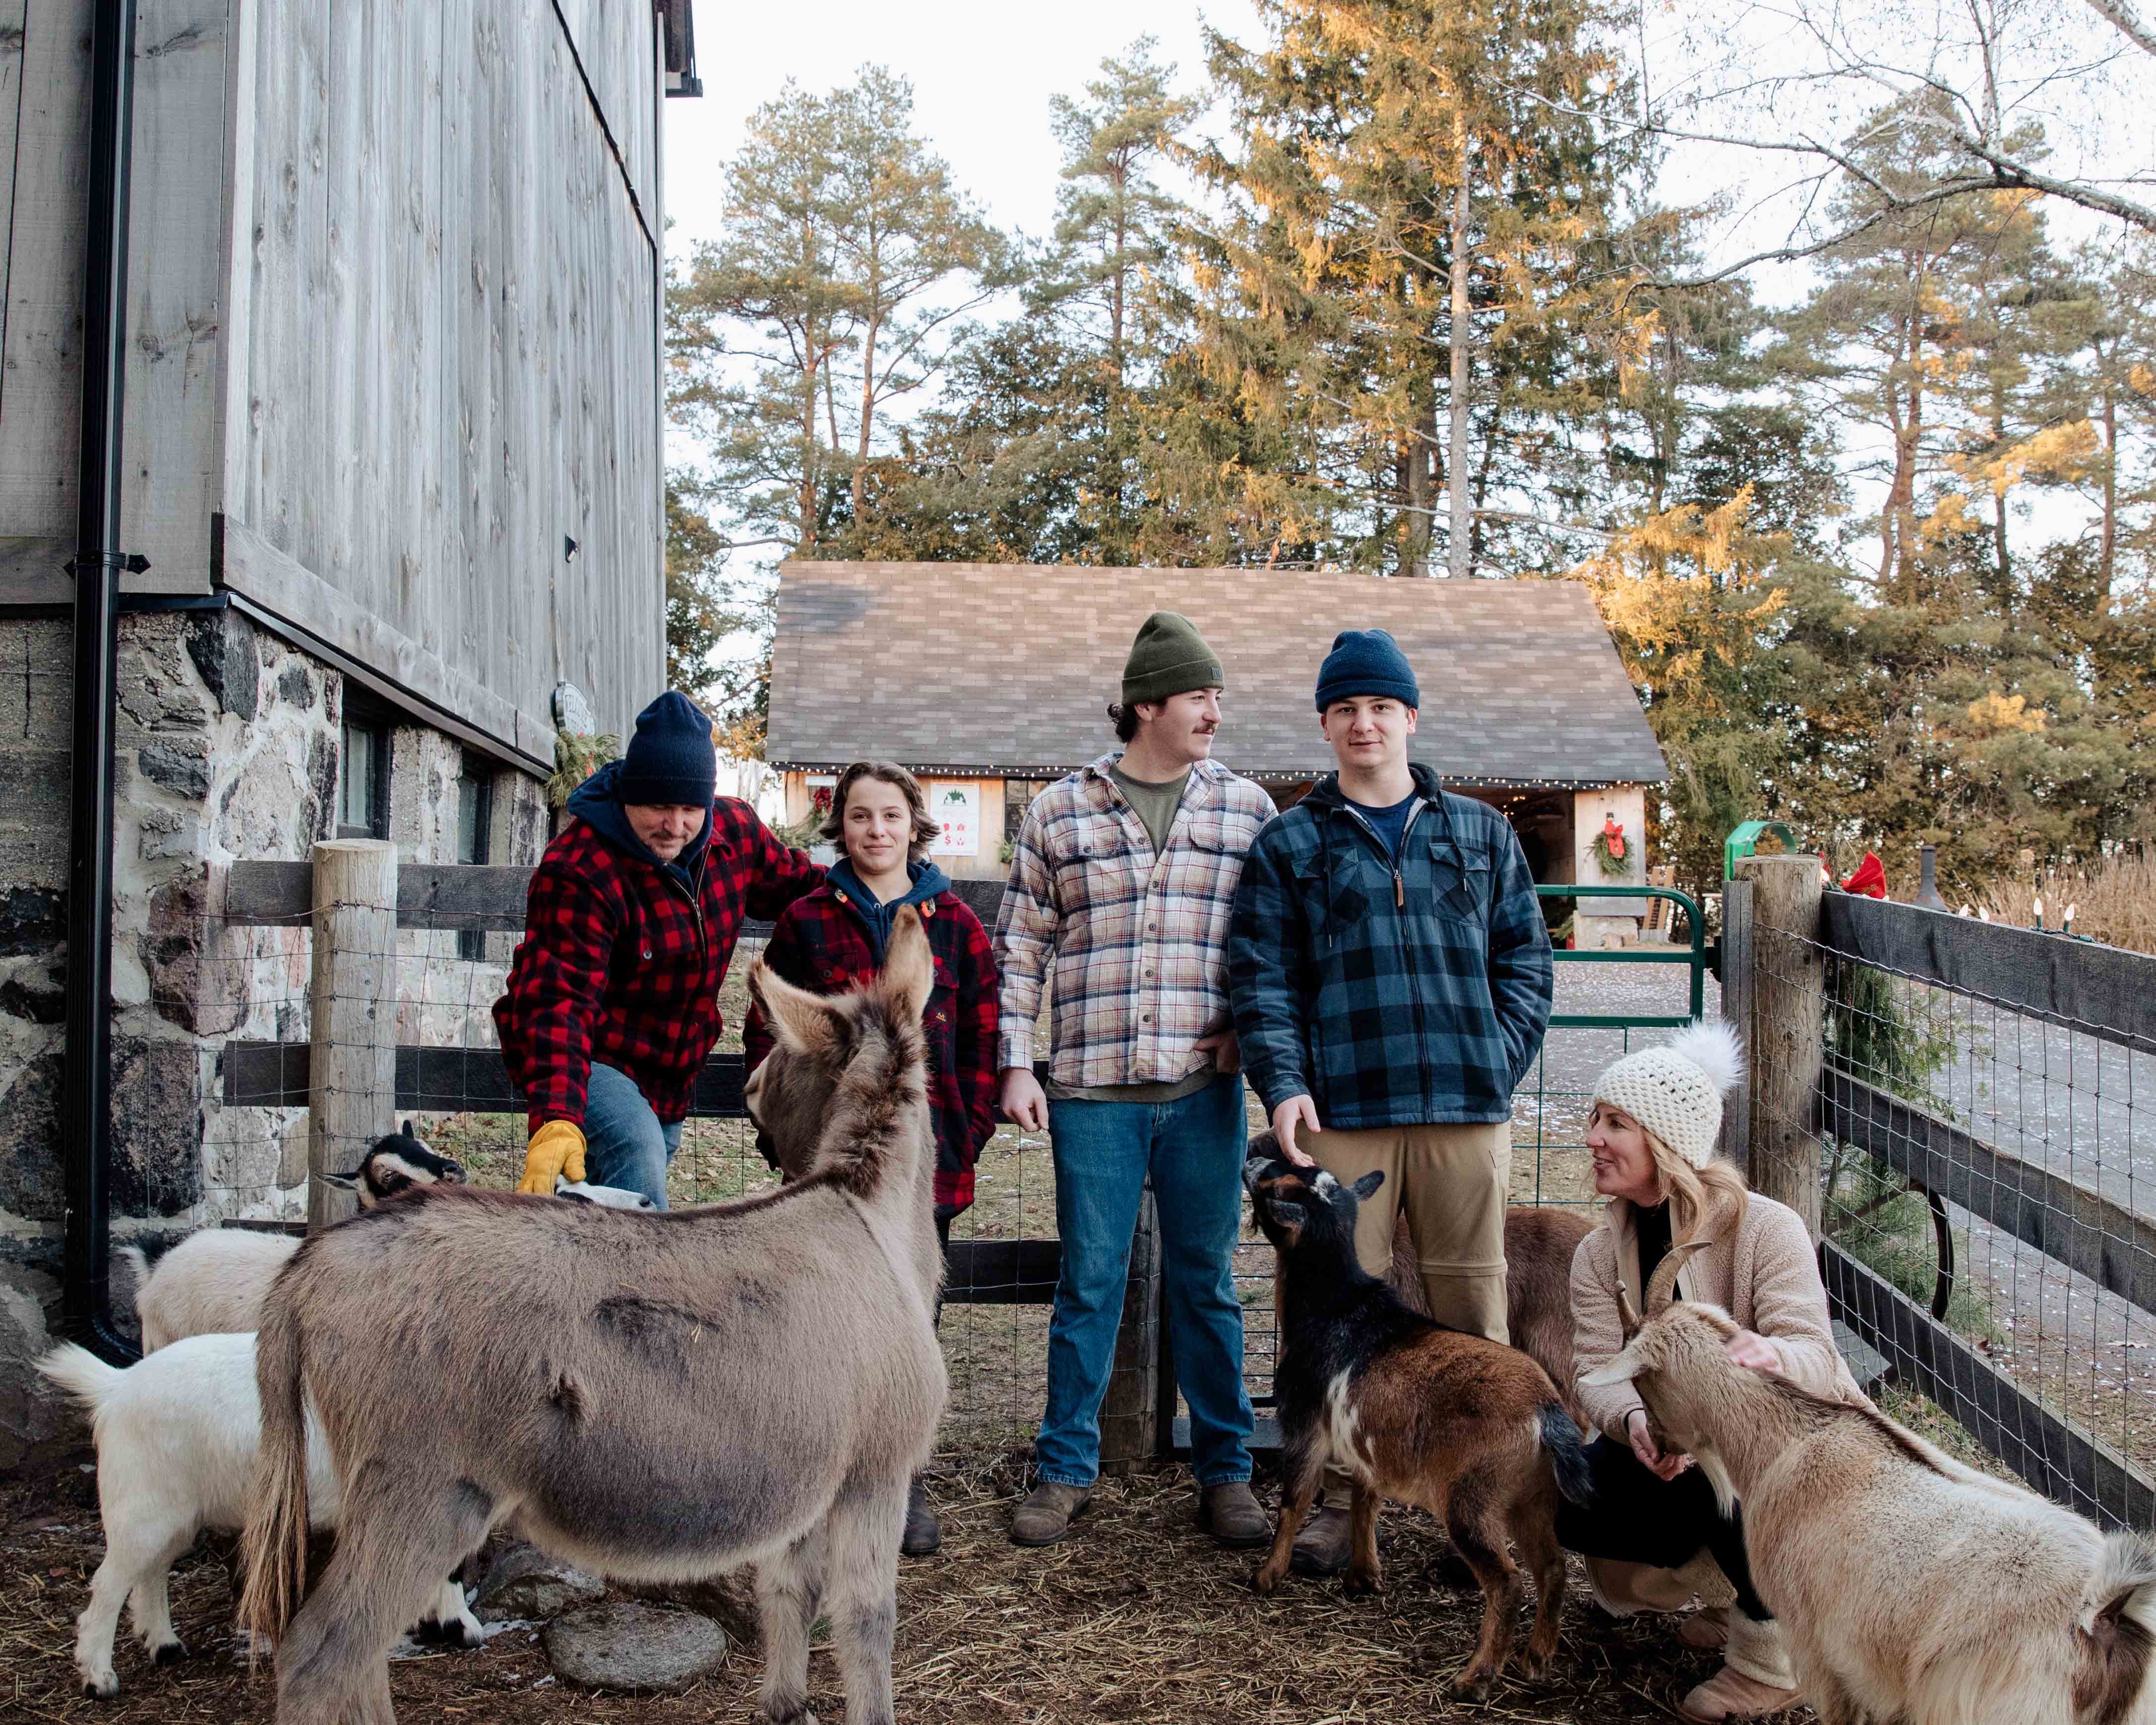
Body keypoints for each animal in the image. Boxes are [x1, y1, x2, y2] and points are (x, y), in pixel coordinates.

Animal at [37, 1337, 481, 1699]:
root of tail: (116, 1386)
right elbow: (450, 1565)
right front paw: (460, 1627)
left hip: (173, 1511)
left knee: (152, 1572)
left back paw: (165, 1646)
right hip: (140, 1503)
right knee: (109, 1585)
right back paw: (99, 1679)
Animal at [240, 901, 948, 1725]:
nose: (748, 1087)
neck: (867, 1212)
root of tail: (314, 1262)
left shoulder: (814, 1483)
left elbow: (788, 1593)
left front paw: (783, 1705)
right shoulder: (876, 1471)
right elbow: (867, 1618)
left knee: (360, 1655)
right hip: (421, 1489)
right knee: (322, 1651)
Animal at [1250, 1147, 1587, 1699]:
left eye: (1279, 1185)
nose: (1256, 1161)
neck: (1335, 1305)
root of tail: (1545, 1410)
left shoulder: (1304, 1423)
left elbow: (1294, 1499)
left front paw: (1267, 1575)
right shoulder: (1363, 1440)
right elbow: (1365, 1499)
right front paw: (1363, 1576)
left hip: (1472, 1497)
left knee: (1509, 1580)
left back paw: (1474, 1676)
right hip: (1530, 1495)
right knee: (1552, 1566)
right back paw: (1536, 1657)